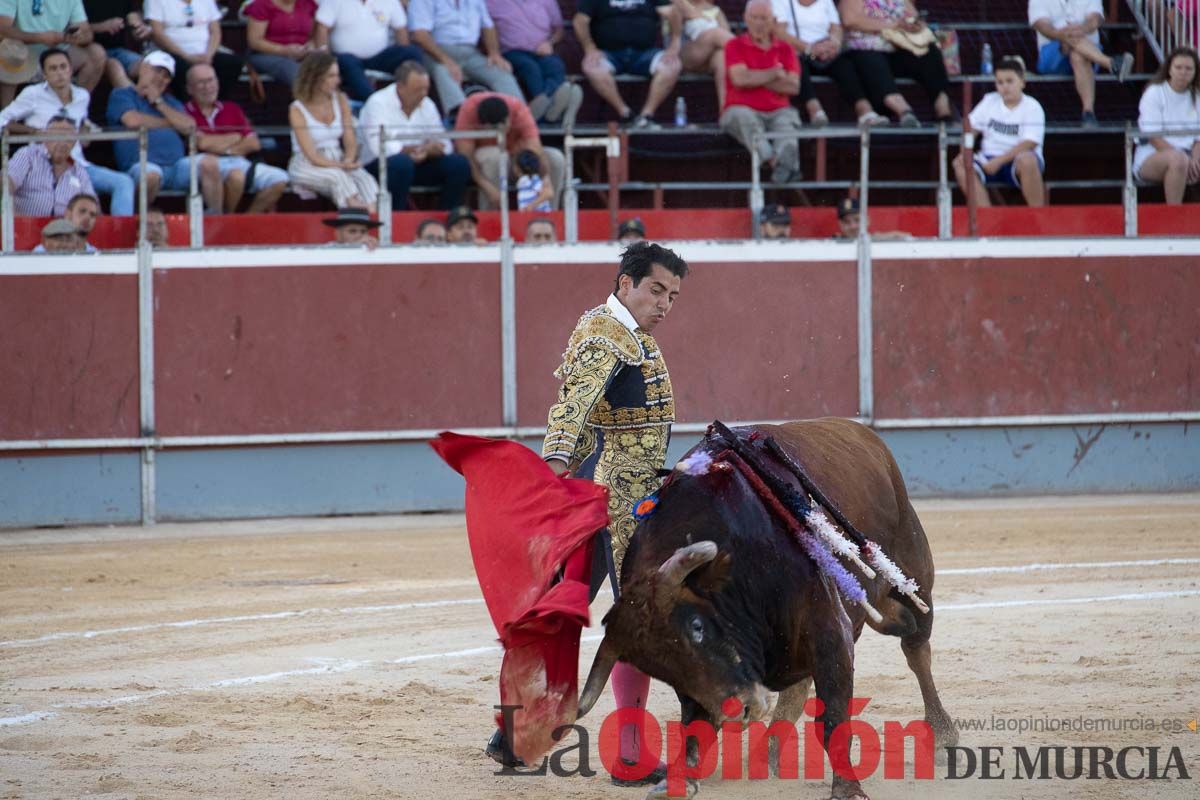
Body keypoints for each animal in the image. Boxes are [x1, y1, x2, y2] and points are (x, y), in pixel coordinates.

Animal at [576, 422, 960, 796]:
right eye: (663, 671)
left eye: (698, 627)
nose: (739, 709)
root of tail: (866, 435)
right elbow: (696, 724)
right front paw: (681, 779)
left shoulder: (829, 631)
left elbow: (833, 718)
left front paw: (848, 789)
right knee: (797, 692)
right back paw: (765, 756)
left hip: (914, 577)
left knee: (916, 649)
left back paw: (943, 736)